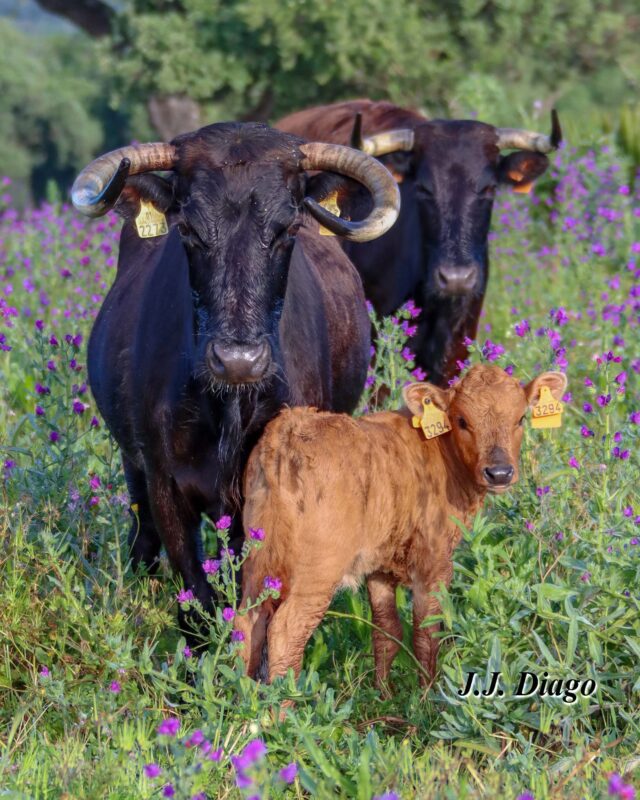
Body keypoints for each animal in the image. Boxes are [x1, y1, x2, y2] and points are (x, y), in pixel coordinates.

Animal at [71, 122, 400, 636]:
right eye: (188, 229)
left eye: (288, 228)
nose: (239, 360)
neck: (227, 408)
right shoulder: (166, 487)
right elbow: (197, 601)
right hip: (134, 466)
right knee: (143, 538)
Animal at [235, 366, 564, 684]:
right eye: (461, 420)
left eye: (520, 418)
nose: (499, 473)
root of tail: (287, 433)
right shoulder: (434, 561)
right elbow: (427, 634)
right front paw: (427, 695)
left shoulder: (379, 565)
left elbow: (386, 633)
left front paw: (383, 693)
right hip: (316, 571)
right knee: (286, 633)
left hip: (257, 561)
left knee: (246, 625)